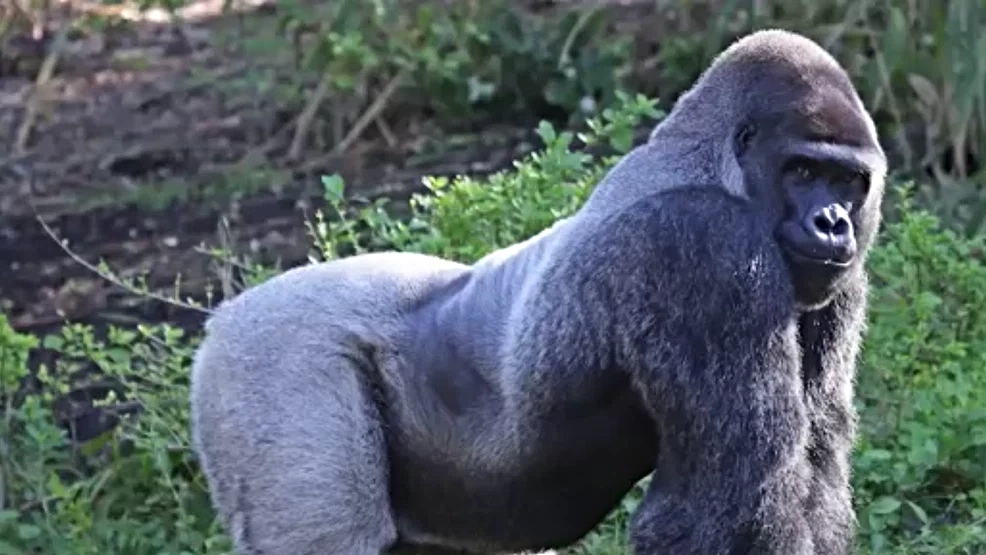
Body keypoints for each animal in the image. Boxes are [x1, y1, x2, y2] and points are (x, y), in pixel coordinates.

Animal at [189, 28, 887, 555]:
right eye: (802, 170)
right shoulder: (704, 246)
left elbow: (815, 473)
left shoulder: (835, 282)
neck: (714, 164)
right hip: (268, 358)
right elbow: (728, 506)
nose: (833, 223)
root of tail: (223, 315)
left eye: (847, 181)